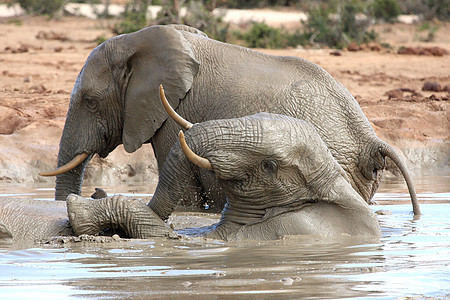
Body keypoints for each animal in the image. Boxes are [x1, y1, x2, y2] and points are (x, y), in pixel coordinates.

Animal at [40, 23, 420, 216]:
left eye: (90, 102)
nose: (94, 192)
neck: (138, 41)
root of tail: (370, 140)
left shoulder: (170, 116)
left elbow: (184, 196)